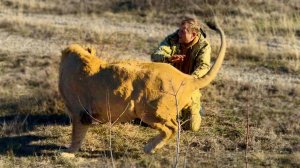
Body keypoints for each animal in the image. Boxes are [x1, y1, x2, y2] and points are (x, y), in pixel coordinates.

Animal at [59, 20, 225, 153]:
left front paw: (68, 153)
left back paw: (149, 148)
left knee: (172, 128)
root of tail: (186, 78)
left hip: (151, 111)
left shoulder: (80, 112)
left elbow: (77, 136)